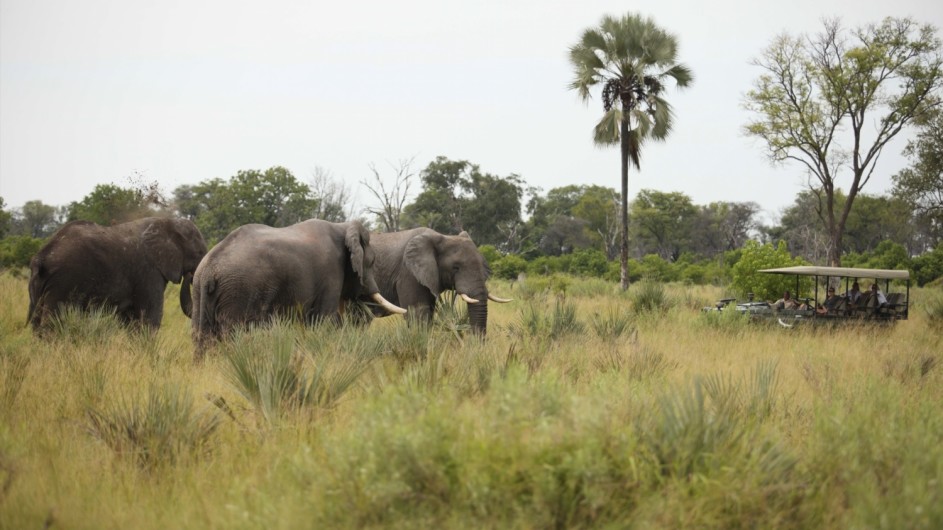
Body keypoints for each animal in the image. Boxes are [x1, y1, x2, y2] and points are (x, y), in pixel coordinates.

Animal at [192, 217, 406, 356]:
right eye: (372, 261)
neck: (343, 227)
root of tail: (209, 269)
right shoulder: (330, 271)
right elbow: (324, 320)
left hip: (200, 292)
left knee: (201, 336)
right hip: (238, 292)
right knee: (232, 335)